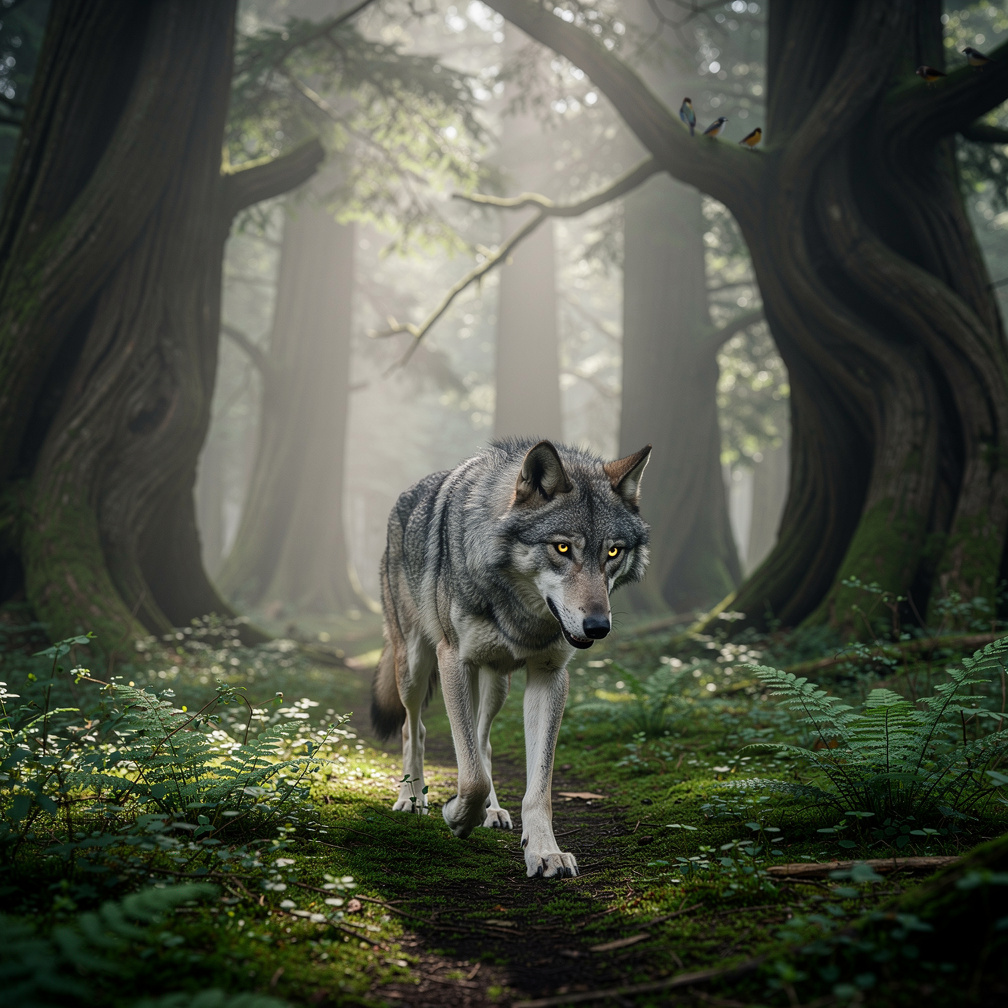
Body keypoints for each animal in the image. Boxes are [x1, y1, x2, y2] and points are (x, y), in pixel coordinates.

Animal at [370, 438, 651, 877]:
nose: (597, 627)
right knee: (413, 729)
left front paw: (545, 851)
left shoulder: (550, 676)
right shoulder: (454, 662)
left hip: (497, 683)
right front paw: (456, 817)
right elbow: (470, 776)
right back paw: (411, 798)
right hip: (414, 666)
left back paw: (493, 811)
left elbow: (536, 786)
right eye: (562, 547)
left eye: (613, 552)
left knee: (483, 743)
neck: (520, 611)